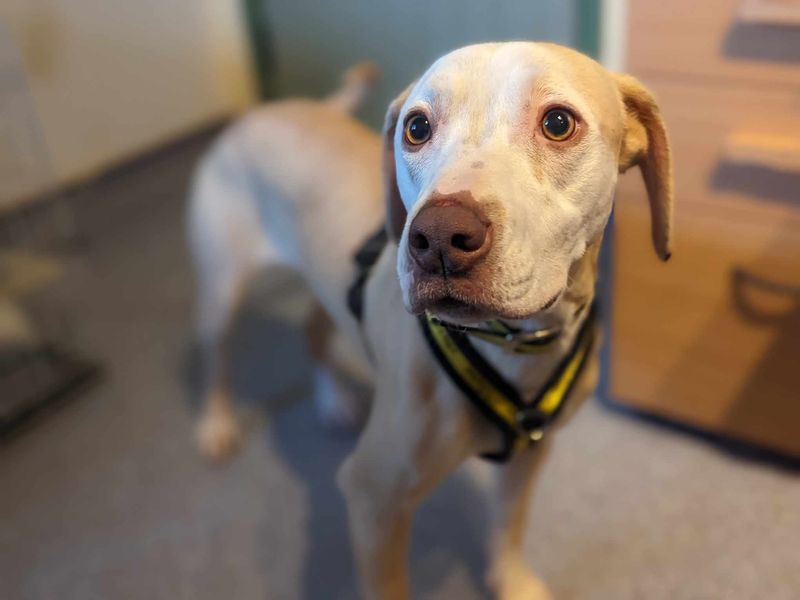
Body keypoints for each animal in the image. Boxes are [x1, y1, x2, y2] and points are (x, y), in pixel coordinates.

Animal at [191, 43, 672, 600]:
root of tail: (269, 110)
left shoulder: (531, 455)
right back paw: (216, 426)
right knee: (215, 356)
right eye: (417, 127)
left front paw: (511, 583)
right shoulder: (375, 497)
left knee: (313, 330)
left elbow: (508, 527)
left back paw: (332, 401)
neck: (511, 345)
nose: (439, 237)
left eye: (557, 122)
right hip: (220, 290)